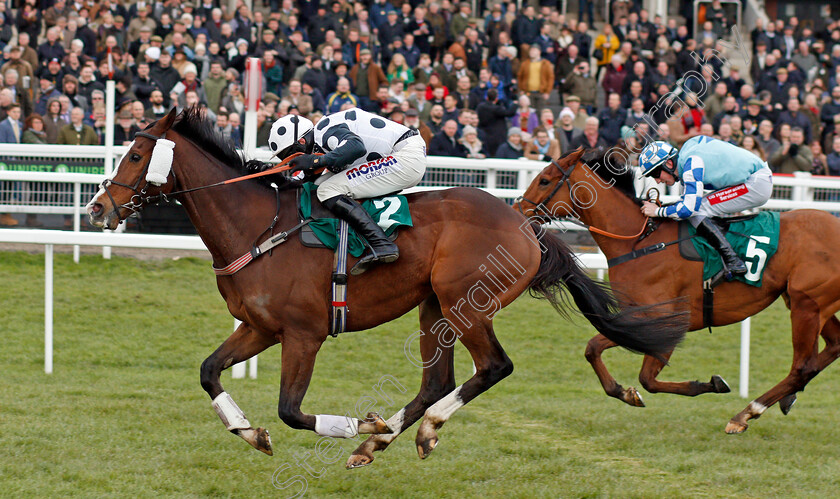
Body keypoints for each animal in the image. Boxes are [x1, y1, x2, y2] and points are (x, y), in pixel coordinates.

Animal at [85, 109, 688, 468]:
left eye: (135, 155)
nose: (96, 207)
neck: (257, 226)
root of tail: (525, 224)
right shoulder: (259, 327)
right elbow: (210, 372)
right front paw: (252, 434)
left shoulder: (303, 334)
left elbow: (290, 409)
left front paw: (357, 421)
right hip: (433, 309)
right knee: (436, 381)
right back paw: (380, 441)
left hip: (466, 304)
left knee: (492, 368)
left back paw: (411, 431)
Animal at [516, 147, 840, 434]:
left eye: (544, 180)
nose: (518, 210)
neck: (640, 242)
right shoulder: (638, 320)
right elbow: (593, 349)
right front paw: (623, 392)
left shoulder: (663, 318)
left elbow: (647, 378)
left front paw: (709, 385)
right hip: (807, 303)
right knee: (829, 349)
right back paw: (786, 398)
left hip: (807, 305)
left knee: (803, 366)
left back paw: (746, 413)